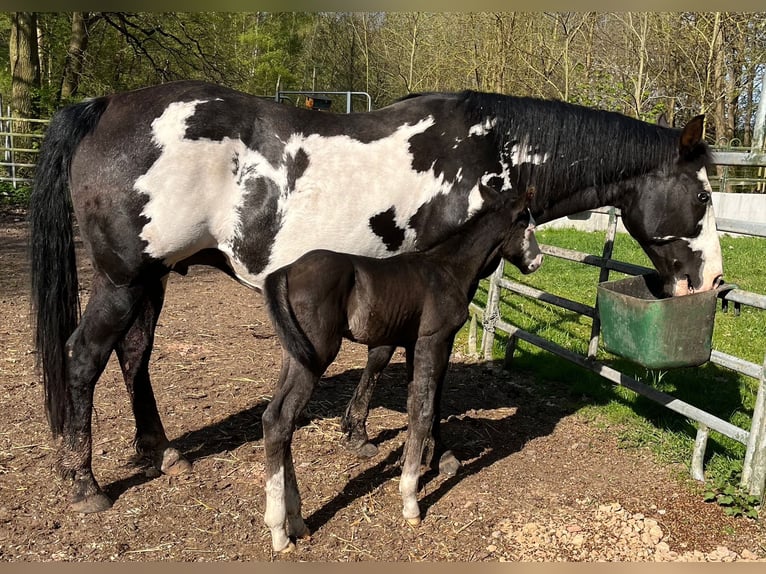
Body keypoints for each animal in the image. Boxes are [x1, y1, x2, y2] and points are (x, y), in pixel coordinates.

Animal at [262, 184, 539, 552]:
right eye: (529, 225)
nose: (537, 261)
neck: (448, 269)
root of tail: (285, 271)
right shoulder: (433, 342)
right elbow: (424, 411)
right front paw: (410, 501)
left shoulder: (411, 345)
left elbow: (414, 405)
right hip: (317, 356)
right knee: (281, 420)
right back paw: (280, 533)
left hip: (295, 356)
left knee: (277, 419)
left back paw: (297, 521)